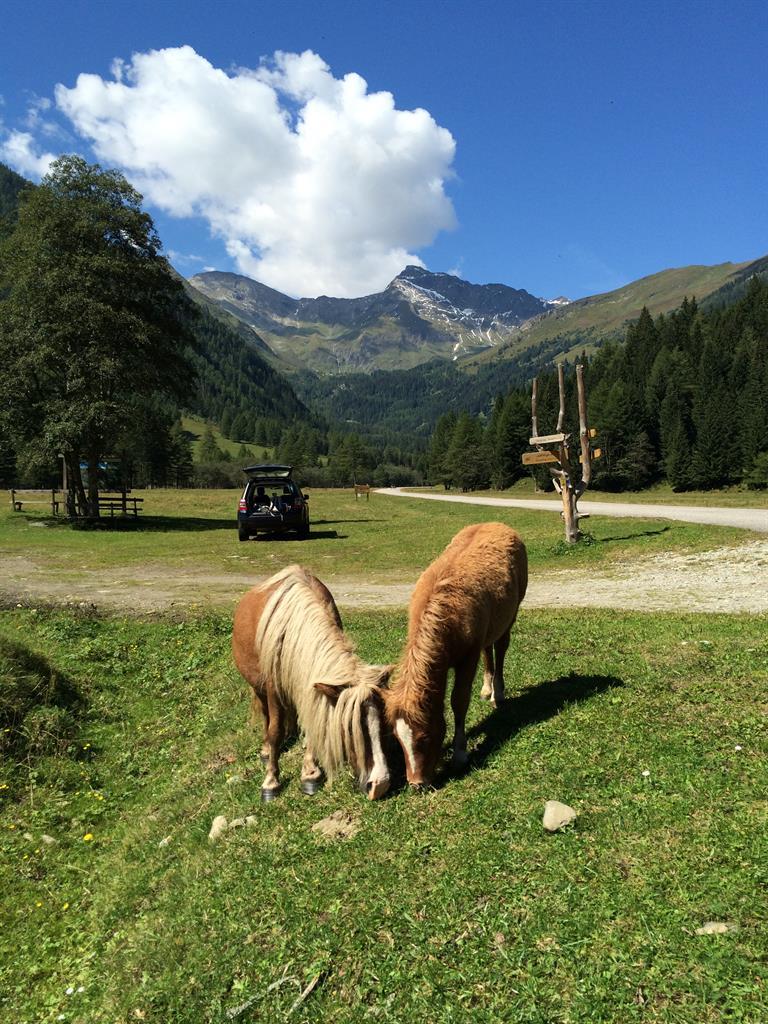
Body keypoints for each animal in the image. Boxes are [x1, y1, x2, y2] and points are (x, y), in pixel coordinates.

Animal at [232, 564, 393, 802]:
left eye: (382, 722)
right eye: (350, 729)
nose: (380, 785)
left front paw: (310, 773)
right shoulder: (273, 690)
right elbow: (274, 731)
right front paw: (270, 782)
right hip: (258, 688)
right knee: (266, 716)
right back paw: (266, 751)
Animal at [384, 522, 528, 788]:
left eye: (425, 736)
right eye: (398, 739)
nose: (417, 783)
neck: (445, 616)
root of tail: (497, 524)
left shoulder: (467, 658)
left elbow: (459, 701)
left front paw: (460, 753)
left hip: (511, 614)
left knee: (501, 647)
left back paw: (498, 692)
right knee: (488, 650)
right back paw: (487, 688)